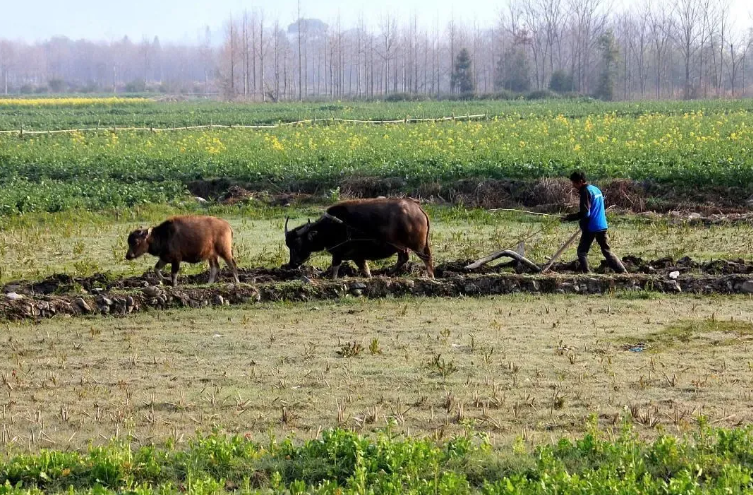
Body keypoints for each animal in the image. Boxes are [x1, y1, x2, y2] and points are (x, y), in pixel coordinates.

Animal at [284, 198, 434, 280]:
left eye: (297, 244)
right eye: (288, 245)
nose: (292, 264)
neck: (331, 227)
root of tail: (417, 209)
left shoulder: (338, 254)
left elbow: (335, 270)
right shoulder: (358, 257)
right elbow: (366, 271)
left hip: (417, 244)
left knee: (426, 258)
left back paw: (431, 276)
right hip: (401, 246)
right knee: (403, 257)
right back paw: (389, 272)